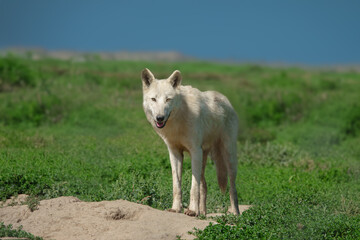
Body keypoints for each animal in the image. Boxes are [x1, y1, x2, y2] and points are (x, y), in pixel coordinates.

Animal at [142, 68, 240, 217]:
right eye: (153, 99)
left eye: (168, 99)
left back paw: (235, 213)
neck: (177, 123)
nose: (160, 118)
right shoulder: (175, 153)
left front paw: (192, 210)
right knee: (204, 185)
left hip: (228, 157)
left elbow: (193, 187)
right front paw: (176, 208)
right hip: (205, 157)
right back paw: (203, 213)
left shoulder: (195, 151)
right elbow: (177, 186)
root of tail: (226, 100)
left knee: (232, 188)